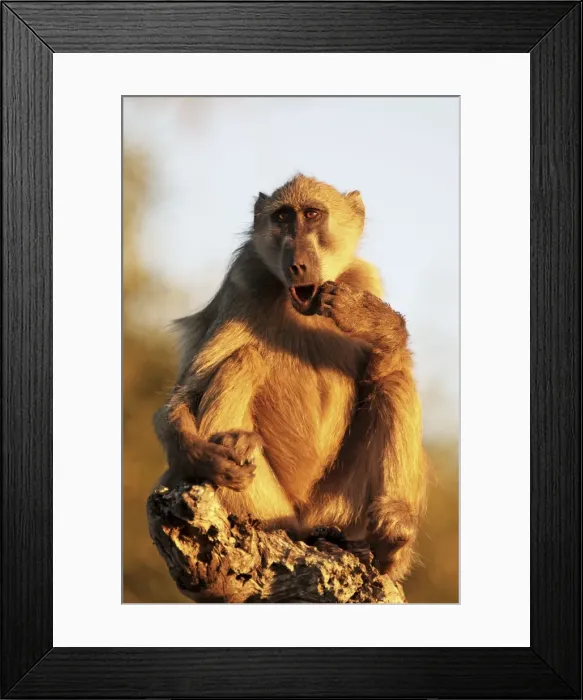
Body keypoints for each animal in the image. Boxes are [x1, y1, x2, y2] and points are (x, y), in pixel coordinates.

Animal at [153, 174, 427, 582]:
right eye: (282, 217)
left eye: (312, 214)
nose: (297, 265)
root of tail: (302, 522)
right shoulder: (244, 283)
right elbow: (184, 395)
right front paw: (202, 457)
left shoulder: (364, 281)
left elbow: (379, 374)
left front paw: (375, 322)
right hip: (270, 503)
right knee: (245, 358)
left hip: (338, 507)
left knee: (394, 380)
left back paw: (390, 542)